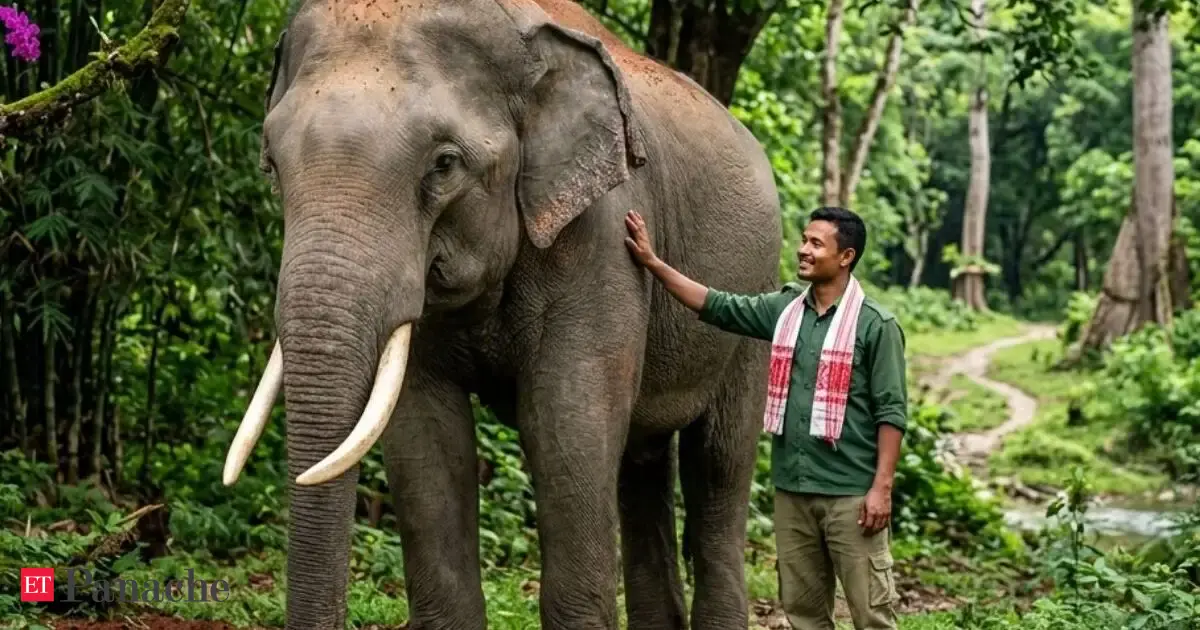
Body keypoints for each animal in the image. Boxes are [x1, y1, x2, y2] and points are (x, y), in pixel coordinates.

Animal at [220, 0, 782, 628]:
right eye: (271, 162)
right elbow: (425, 435)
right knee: (642, 464)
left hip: (756, 296)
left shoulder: (603, 238)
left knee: (719, 465)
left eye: (444, 164)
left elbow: (565, 425)